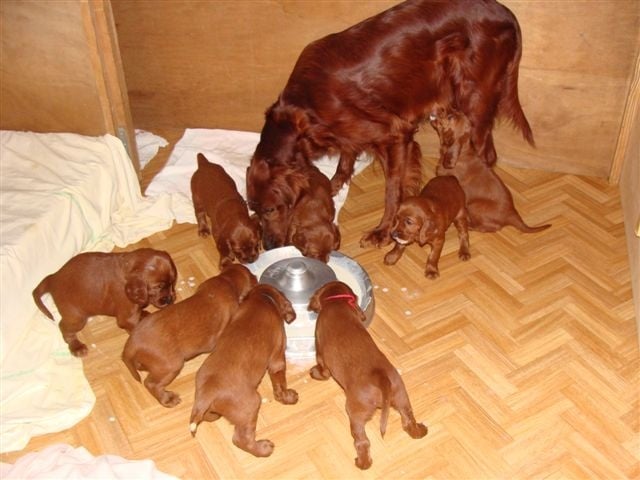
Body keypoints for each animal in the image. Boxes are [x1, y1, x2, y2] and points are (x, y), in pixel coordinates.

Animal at [32, 249, 176, 358]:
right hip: (76, 316)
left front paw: (143, 313)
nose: (170, 299)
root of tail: (53, 277)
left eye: (172, 282)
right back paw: (76, 347)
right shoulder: (126, 316)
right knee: (64, 327)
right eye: (158, 287)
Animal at [190, 284, 298, 458]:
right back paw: (263, 448)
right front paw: (288, 397)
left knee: (207, 417)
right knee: (240, 439)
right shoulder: (277, 358)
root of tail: (207, 393)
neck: (262, 299)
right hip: (252, 404)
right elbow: (280, 384)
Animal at [248, 0, 532, 248]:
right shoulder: (350, 134)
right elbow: (346, 157)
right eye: (253, 210)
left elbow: (393, 192)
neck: (302, 111)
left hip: (473, 98)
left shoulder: (395, 134)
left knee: (484, 154)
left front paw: (382, 232)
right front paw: (332, 185)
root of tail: (507, 13)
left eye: (270, 209)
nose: (269, 246)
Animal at [308, 282, 428, 468]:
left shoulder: (320, 351)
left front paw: (315, 373)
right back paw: (420, 431)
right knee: (409, 420)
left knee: (362, 441)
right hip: (402, 397)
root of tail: (382, 378)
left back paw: (363, 463)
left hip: (355, 412)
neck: (336, 302)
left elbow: (323, 370)